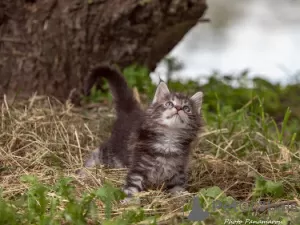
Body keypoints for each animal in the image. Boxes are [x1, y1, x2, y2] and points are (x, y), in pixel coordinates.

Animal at [79, 62, 204, 198]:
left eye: (187, 108)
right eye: (169, 104)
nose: (178, 108)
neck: (169, 142)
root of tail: (130, 111)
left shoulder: (178, 173)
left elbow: (179, 190)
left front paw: (182, 198)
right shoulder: (138, 168)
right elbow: (132, 187)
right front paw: (129, 200)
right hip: (115, 152)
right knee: (97, 152)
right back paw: (84, 171)